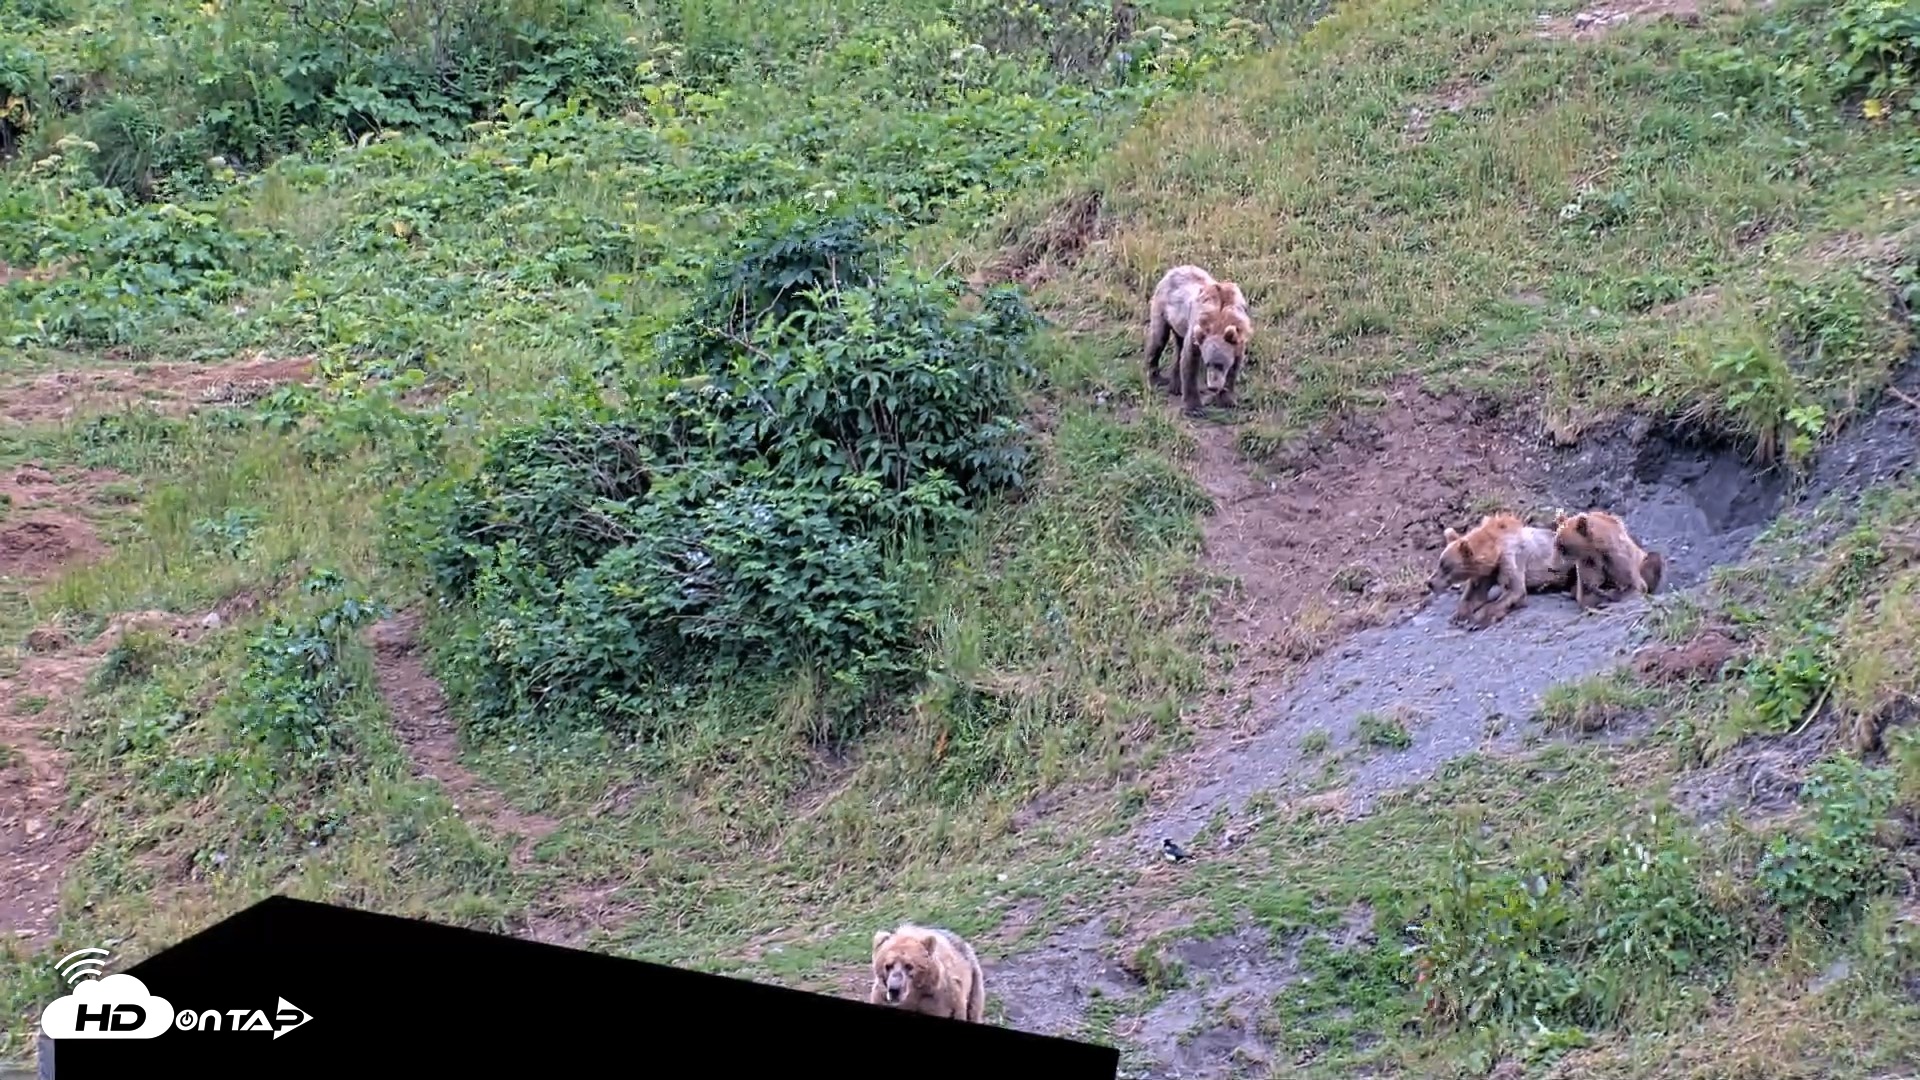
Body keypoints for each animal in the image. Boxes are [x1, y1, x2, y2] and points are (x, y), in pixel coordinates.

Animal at [1144, 264, 1253, 417]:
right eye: (1208, 363)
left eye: (1220, 365)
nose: (1212, 387)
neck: (1221, 319)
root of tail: (1173, 270)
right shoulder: (1197, 331)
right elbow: (1189, 361)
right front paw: (1194, 407)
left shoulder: (1238, 340)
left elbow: (1234, 367)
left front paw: (1228, 399)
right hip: (1162, 308)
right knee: (1158, 339)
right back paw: (1156, 378)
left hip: (1180, 323)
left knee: (1179, 348)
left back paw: (1175, 386)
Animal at [1427, 511, 1572, 630]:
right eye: (1439, 563)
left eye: (1446, 567)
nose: (1429, 583)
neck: (1495, 552)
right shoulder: (1487, 572)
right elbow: (1475, 593)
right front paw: (1459, 616)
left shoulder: (1510, 559)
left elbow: (1514, 591)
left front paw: (1479, 619)